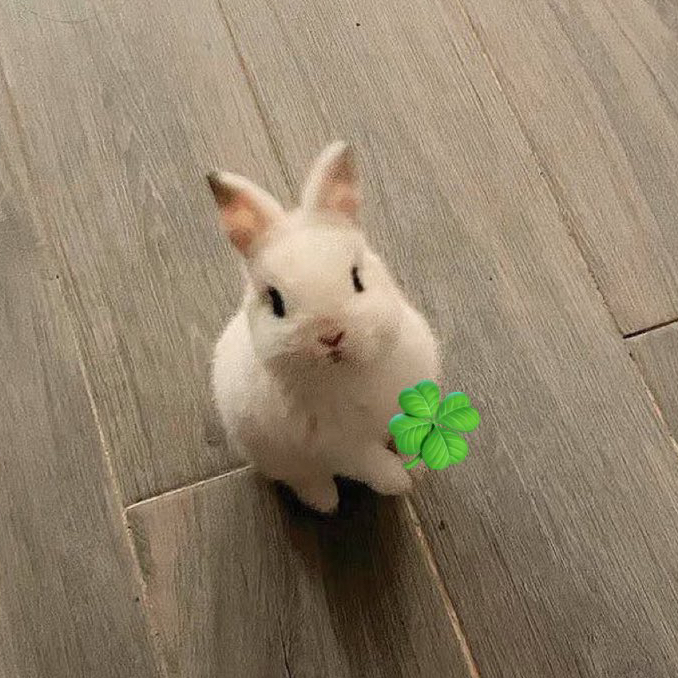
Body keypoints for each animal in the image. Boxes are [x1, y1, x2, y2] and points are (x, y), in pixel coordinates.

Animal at [208, 141, 440, 514]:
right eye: (276, 302)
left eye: (357, 278)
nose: (331, 336)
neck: (348, 376)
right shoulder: (334, 446)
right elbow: (369, 463)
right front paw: (400, 482)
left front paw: (417, 468)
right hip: (277, 456)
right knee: (304, 477)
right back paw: (325, 502)